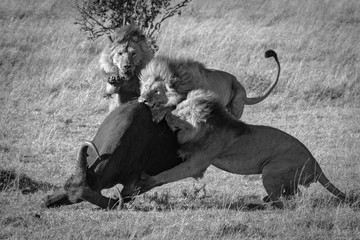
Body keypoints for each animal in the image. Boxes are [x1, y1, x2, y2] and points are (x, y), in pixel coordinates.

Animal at [136, 90, 348, 208]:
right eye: (177, 108)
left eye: (181, 115)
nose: (168, 117)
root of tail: (316, 164)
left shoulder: (198, 162)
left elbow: (172, 173)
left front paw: (148, 180)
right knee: (292, 194)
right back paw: (264, 199)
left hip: (271, 170)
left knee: (283, 203)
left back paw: (259, 204)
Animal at [138, 49, 282, 121]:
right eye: (145, 87)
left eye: (156, 91)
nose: (141, 100)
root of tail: (241, 85)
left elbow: (169, 107)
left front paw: (157, 115)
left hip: (236, 103)